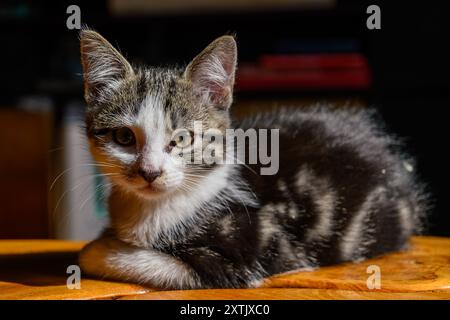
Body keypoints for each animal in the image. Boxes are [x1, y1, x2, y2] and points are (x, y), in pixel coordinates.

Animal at [79, 30, 428, 290]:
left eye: (182, 139)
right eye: (124, 138)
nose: (150, 172)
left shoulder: (254, 254)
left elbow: (118, 258)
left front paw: (99, 246)